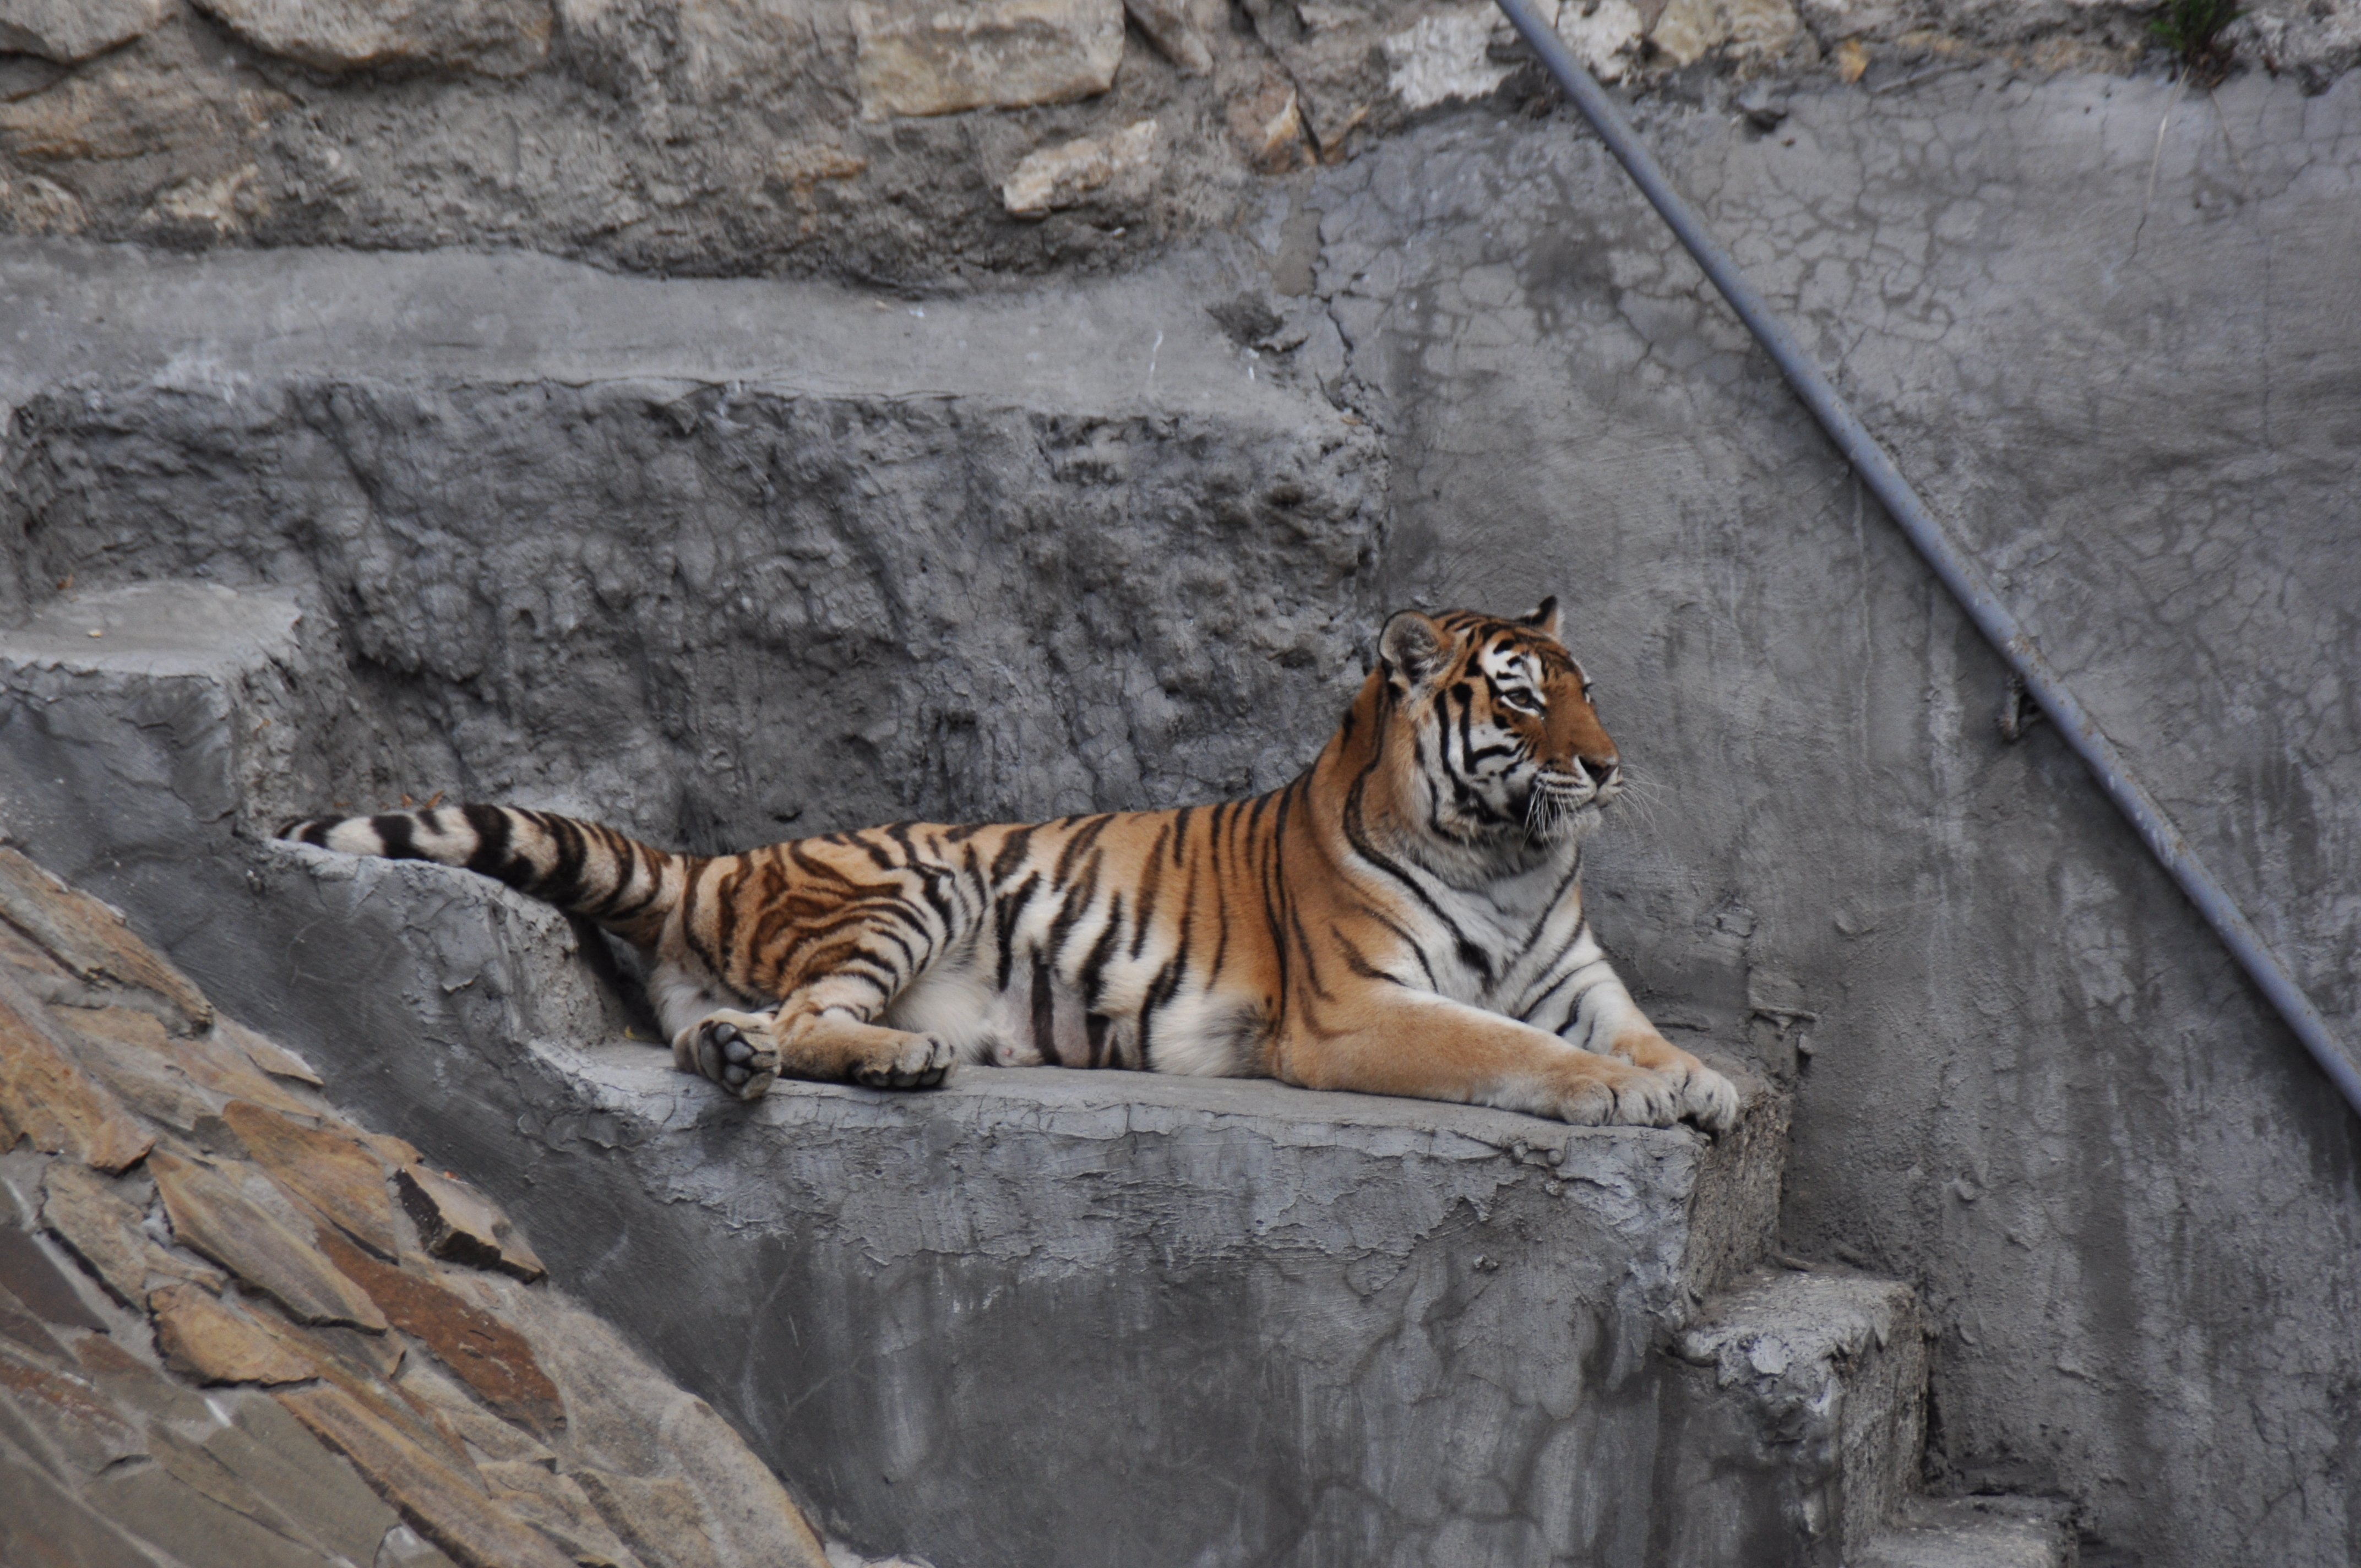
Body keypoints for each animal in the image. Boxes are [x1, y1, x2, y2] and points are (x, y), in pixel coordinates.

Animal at [285, 600, 1747, 1129]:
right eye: (1518, 699)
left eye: (1585, 687)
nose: (1607, 765)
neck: (1512, 858)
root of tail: (717, 865)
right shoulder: (1357, 1009)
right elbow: (1508, 1047)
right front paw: (1624, 1096)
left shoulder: (1574, 975)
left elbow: (1634, 1027)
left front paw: (1699, 1081)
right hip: (911, 885)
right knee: (813, 1012)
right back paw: (893, 1058)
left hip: (764, 974)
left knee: (743, 1030)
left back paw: (759, 1060)